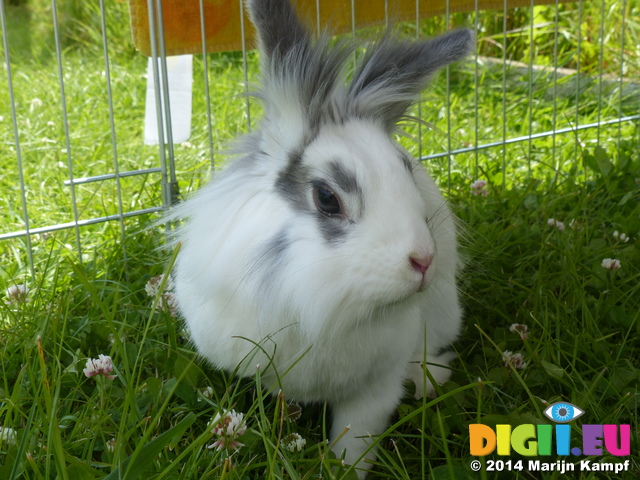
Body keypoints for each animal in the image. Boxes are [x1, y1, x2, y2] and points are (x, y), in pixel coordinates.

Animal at [172, 1, 472, 478]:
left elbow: (355, 439)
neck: (324, 307)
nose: (423, 260)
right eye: (327, 198)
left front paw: (340, 468)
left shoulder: (375, 388)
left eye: (406, 170)